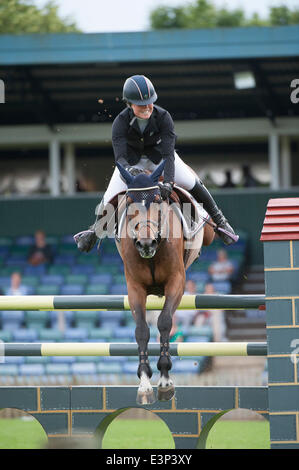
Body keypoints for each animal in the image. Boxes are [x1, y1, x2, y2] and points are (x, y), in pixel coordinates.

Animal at [113, 162, 216, 404]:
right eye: (129, 202)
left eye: (158, 199)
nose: (146, 243)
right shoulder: (135, 288)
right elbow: (142, 329)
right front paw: (144, 383)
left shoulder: (176, 282)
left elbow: (164, 322)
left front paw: (165, 380)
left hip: (208, 232)